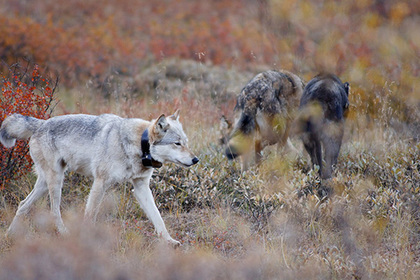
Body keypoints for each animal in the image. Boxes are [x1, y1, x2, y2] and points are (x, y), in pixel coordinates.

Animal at [0, 109, 199, 245]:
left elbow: (158, 218)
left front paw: (170, 241)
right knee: (54, 211)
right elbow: (90, 216)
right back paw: (64, 235)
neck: (138, 145)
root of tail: (41, 123)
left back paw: (10, 235)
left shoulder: (141, 187)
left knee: (22, 205)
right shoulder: (100, 182)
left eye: (186, 143)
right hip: (56, 182)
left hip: (44, 184)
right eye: (177, 143)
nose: (196, 159)